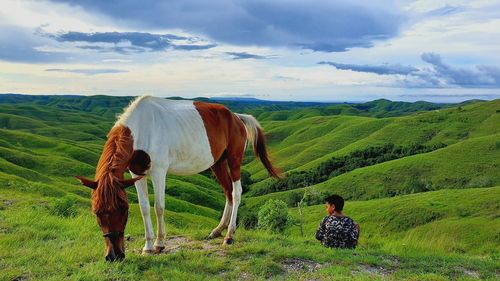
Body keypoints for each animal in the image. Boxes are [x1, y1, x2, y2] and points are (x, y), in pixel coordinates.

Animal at [76, 95, 284, 260]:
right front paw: (147, 246)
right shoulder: (136, 173)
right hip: (217, 163)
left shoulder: (159, 172)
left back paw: (229, 235)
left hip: (234, 160)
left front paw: (159, 244)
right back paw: (218, 230)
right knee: (228, 191)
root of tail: (237, 117)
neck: (142, 128)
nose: (114, 256)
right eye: (97, 213)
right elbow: (144, 208)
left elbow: (159, 207)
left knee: (236, 192)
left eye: (123, 210)